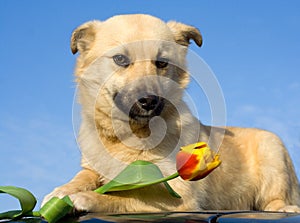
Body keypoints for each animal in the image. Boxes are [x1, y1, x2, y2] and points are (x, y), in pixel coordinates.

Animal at [42, 13, 300, 213]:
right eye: (120, 59)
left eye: (162, 63)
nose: (148, 101)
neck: (129, 138)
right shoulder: (93, 168)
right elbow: (82, 177)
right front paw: (61, 192)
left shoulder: (177, 194)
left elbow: (128, 197)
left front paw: (86, 198)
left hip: (272, 149)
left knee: (276, 200)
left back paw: (283, 207)